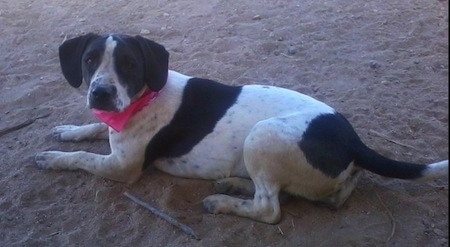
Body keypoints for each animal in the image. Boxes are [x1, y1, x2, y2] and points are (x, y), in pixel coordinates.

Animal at [34, 33, 446, 225]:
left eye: (130, 64)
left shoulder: (122, 167)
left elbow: (82, 158)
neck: (145, 96)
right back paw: (234, 184)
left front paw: (52, 157)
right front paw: (68, 130)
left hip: (262, 135)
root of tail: (355, 142)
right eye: (89, 60)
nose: (100, 93)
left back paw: (223, 201)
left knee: (269, 208)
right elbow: (91, 129)